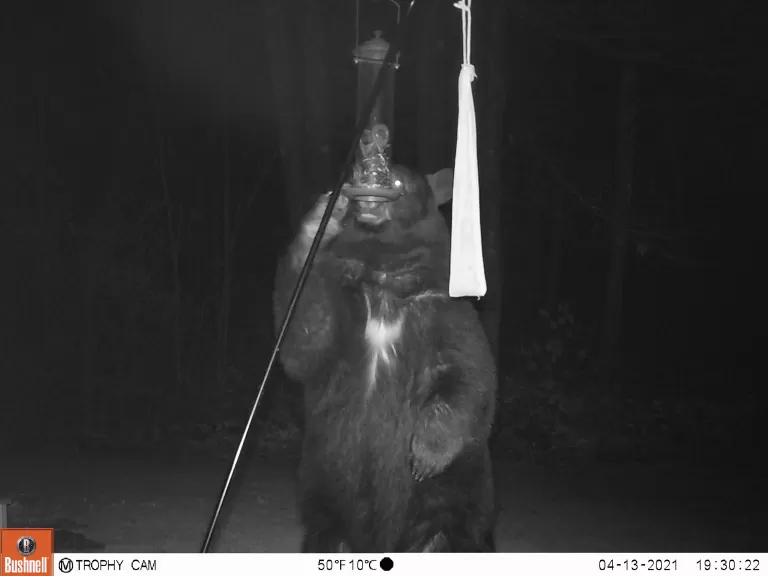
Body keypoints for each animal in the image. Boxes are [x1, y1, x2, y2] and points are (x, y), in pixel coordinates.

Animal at [273, 164, 497, 553]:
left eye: (398, 183)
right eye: (354, 176)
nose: (369, 202)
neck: (384, 285)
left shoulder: (443, 309)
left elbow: (468, 373)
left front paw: (424, 455)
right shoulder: (347, 306)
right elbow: (306, 338)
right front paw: (320, 220)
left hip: (451, 498)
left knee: (443, 534)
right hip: (328, 499)